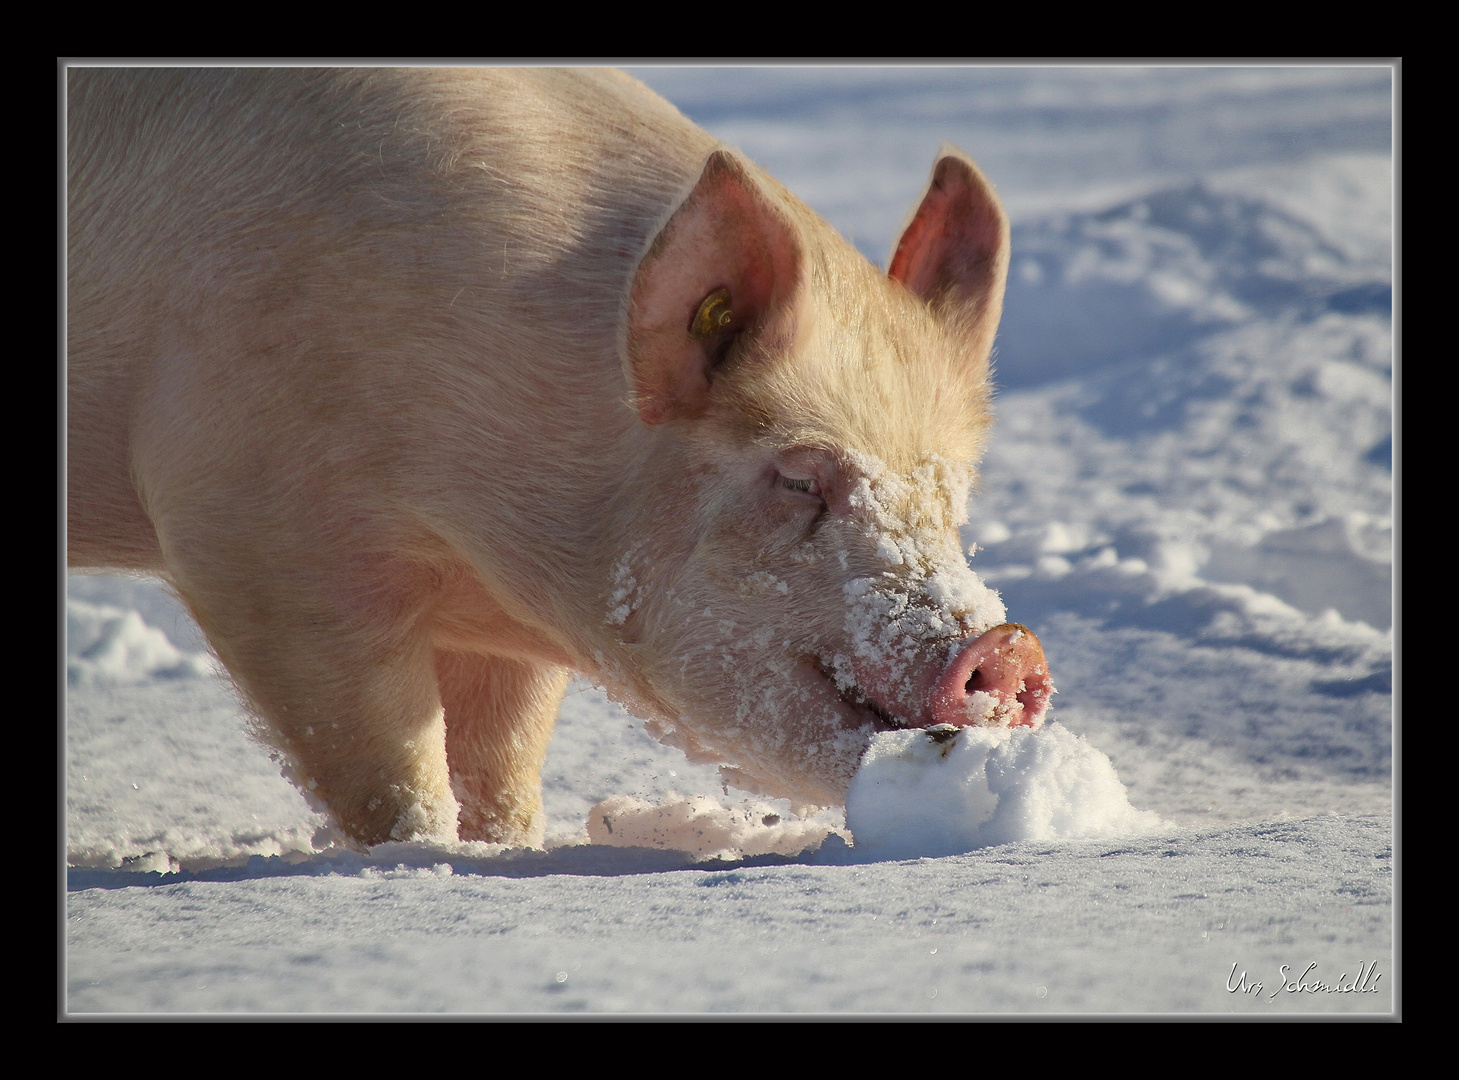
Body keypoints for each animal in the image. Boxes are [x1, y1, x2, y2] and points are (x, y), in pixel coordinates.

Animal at [65, 69, 1050, 852]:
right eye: (801, 477)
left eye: (952, 500)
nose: (1005, 644)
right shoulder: (255, 537)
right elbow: (386, 766)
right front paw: (420, 861)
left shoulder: (494, 623)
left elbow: (499, 762)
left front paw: (507, 850)